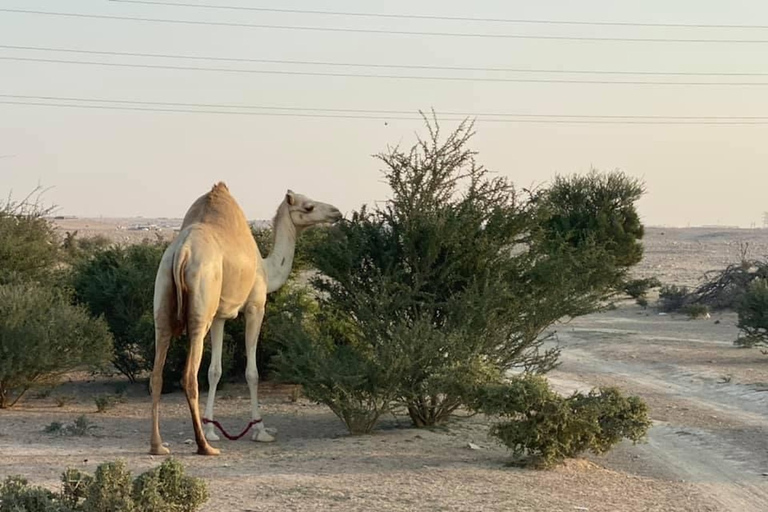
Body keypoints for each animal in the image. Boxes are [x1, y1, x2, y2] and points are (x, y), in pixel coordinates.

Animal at [150, 182, 342, 454]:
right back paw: (204, 447)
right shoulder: (255, 306)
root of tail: (182, 251)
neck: (267, 269)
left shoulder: (219, 316)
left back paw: (158, 445)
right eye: (308, 206)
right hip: (200, 310)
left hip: (164, 298)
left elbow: (215, 370)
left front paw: (212, 429)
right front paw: (260, 430)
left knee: (157, 374)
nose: (337, 213)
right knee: (189, 375)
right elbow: (252, 372)